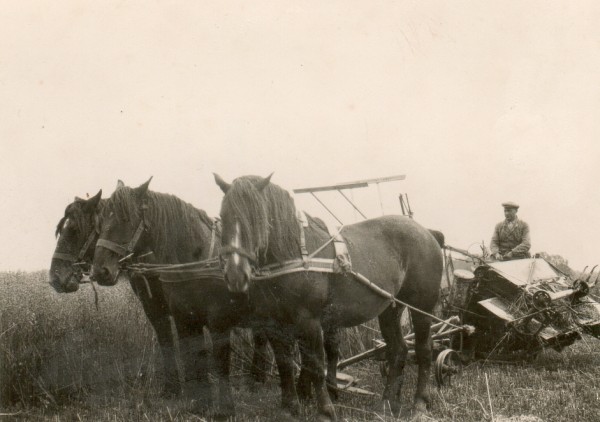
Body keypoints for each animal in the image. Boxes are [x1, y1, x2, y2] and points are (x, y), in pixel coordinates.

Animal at [90, 177, 270, 416]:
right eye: (101, 221)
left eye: (126, 218)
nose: (100, 271)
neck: (194, 264)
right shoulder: (185, 321)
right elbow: (194, 358)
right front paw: (200, 404)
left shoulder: (219, 322)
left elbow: (221, 362)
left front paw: (225, 410)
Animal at [213, 173, 442, 420]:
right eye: (223, 217)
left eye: (259, 219)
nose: (236, 276)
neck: (295, 255)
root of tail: (427, 233)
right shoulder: (275, 324)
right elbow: (285, 365)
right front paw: (289, 408)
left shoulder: (310, 321)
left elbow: (315, 365)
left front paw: (325, 411)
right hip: (390, 308)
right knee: (398, 350)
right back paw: (388, 403)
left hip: (422, 307)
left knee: (424, 350)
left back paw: (419, 404)